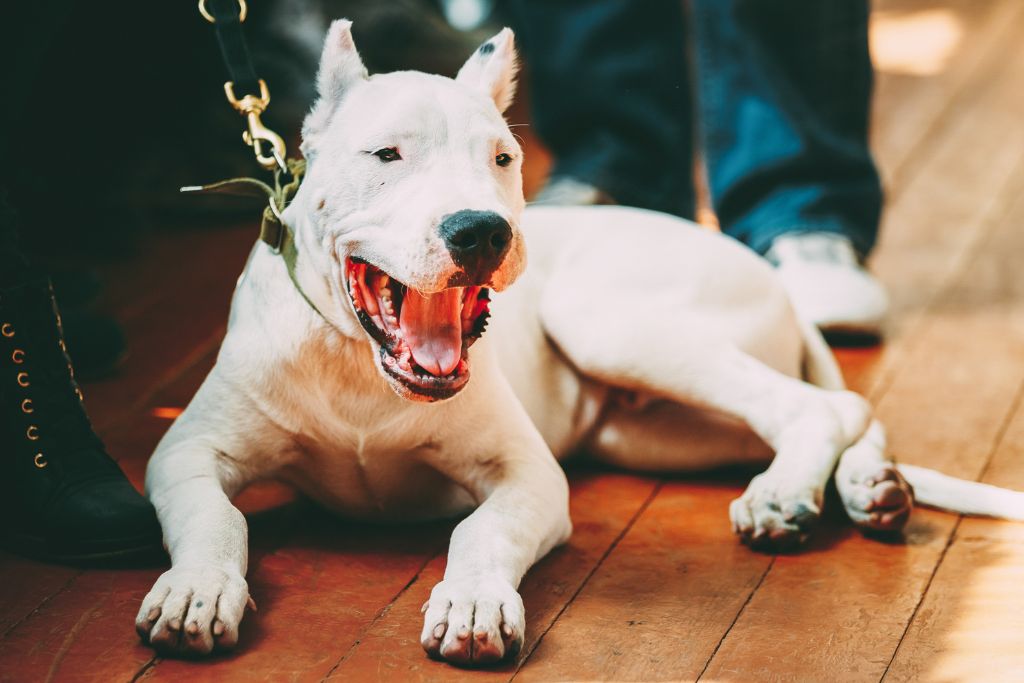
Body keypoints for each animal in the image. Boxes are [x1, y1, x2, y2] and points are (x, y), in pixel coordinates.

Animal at [136, 22, 1024, 667]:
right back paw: (872, 486)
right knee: (836, 409)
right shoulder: (185, 451)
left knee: (821, 404)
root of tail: (768, 273)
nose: (482, 231)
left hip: (607, 319)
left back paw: (787, 495)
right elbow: (216, 517)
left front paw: (472, 601)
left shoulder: (527, 475)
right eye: (386, 154)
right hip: (657, 430)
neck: (362, 369)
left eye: (503, 159)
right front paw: (194, 590)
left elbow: (480, 530)